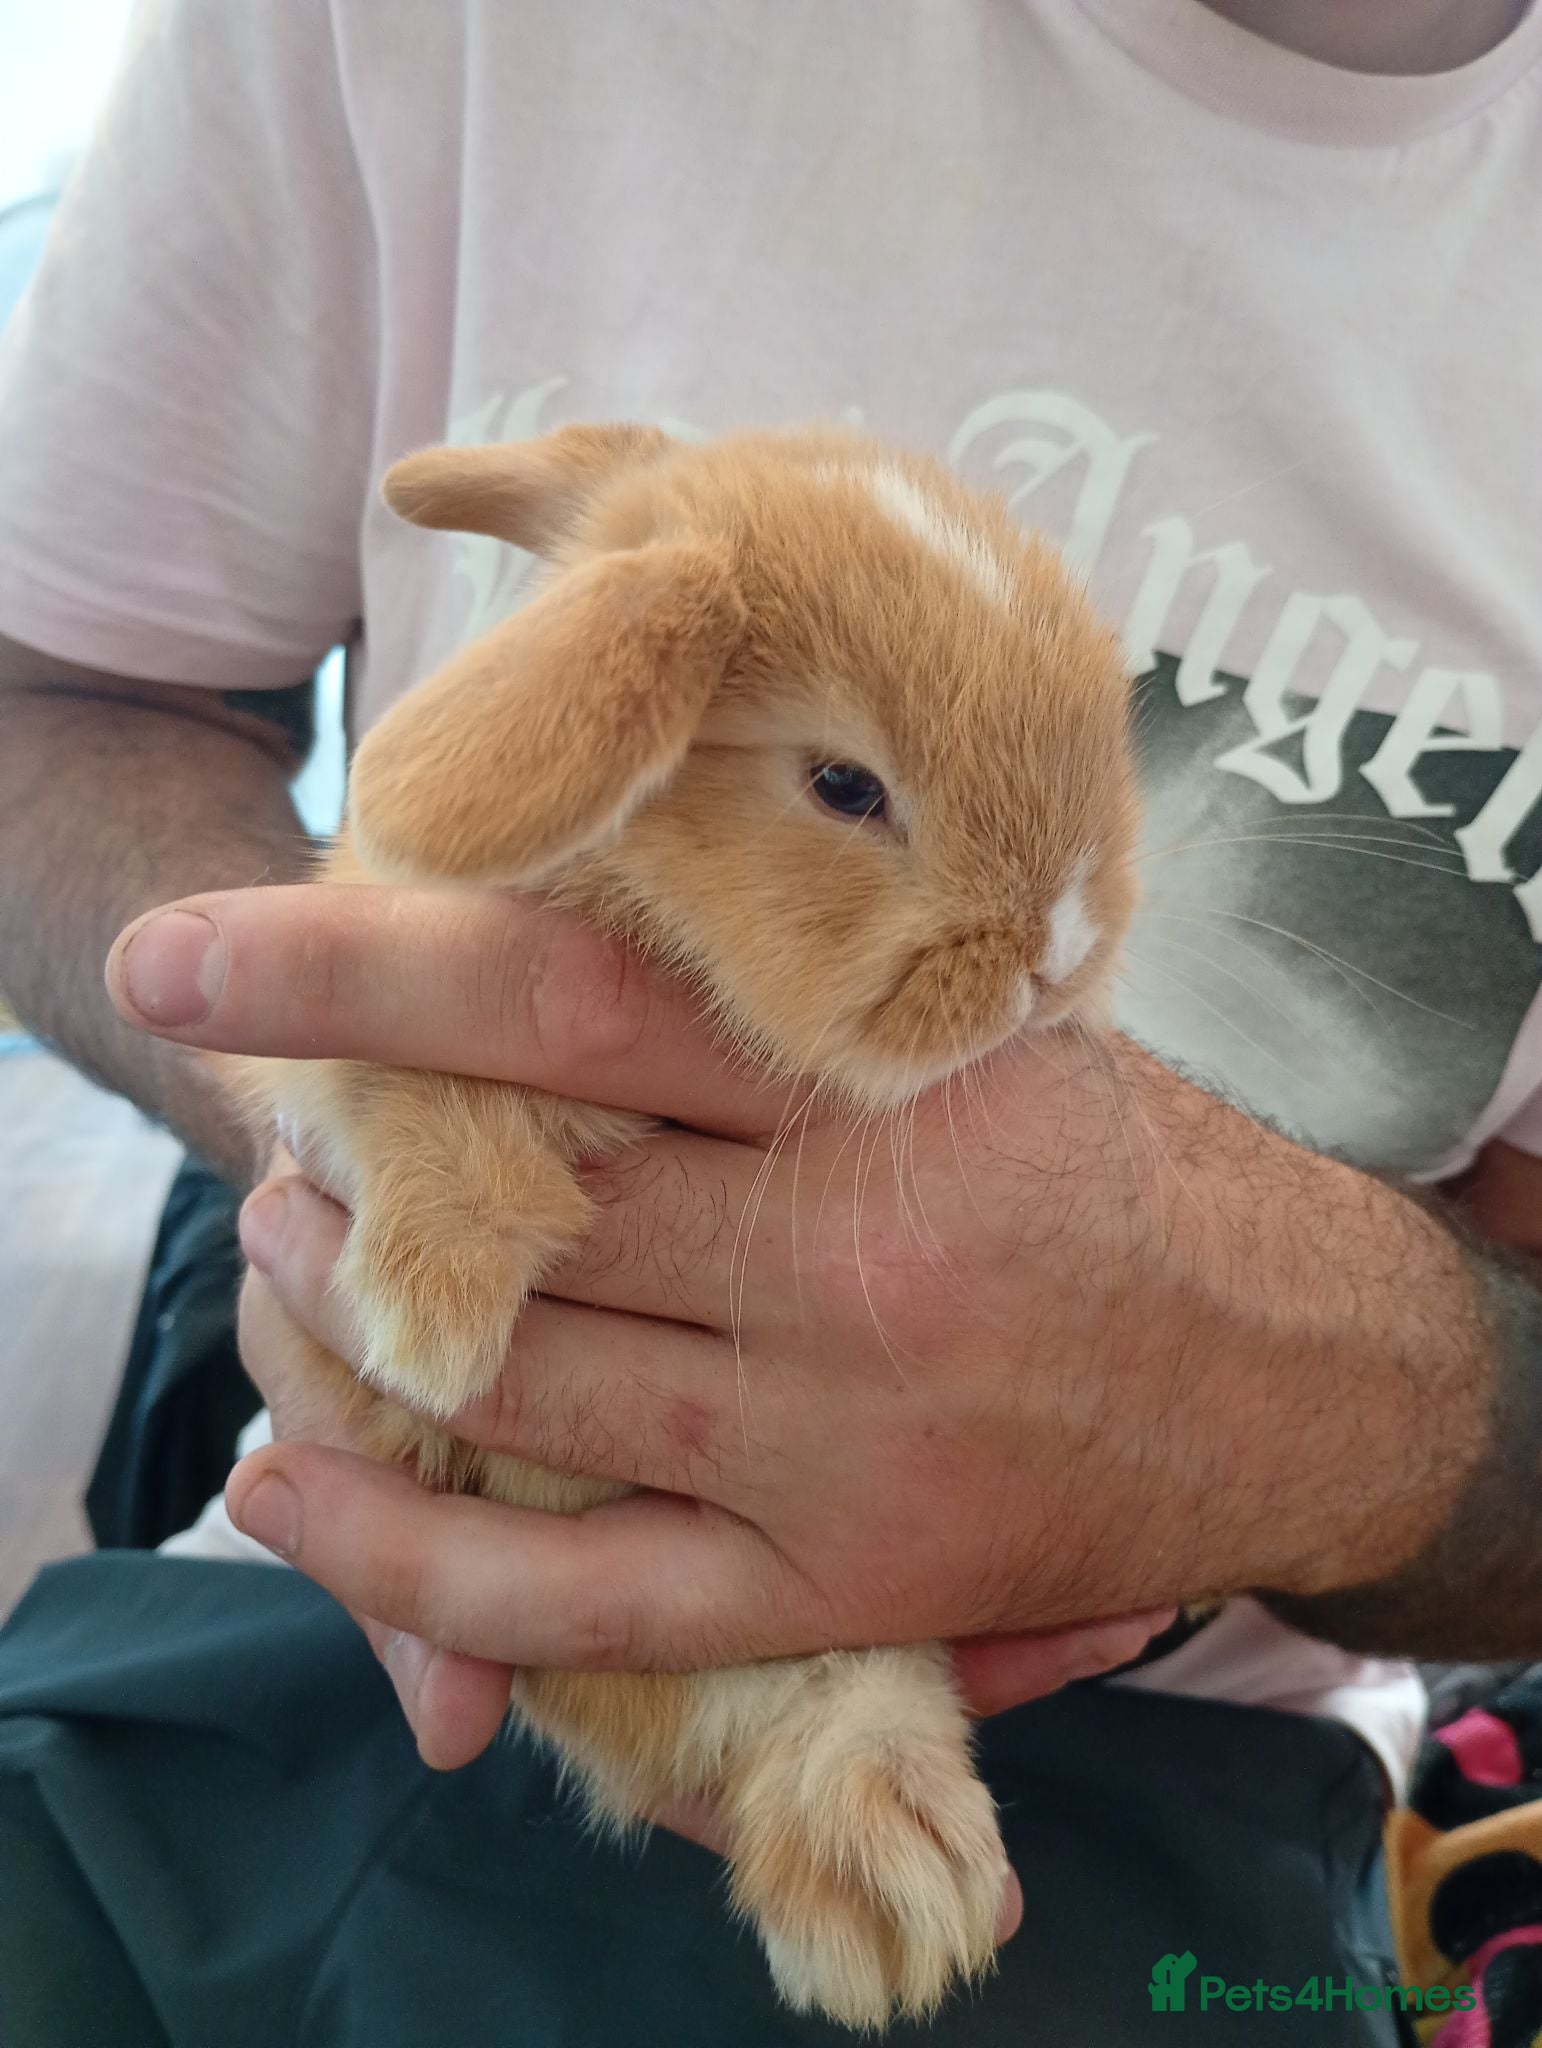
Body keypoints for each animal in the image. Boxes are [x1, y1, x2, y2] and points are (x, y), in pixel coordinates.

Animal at [232, 420, 1141, 2030]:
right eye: (843, 784)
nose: (1062, 950)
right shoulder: (350, 1038)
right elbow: (422, 1100)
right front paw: (431, 1326)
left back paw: (900, 1880)